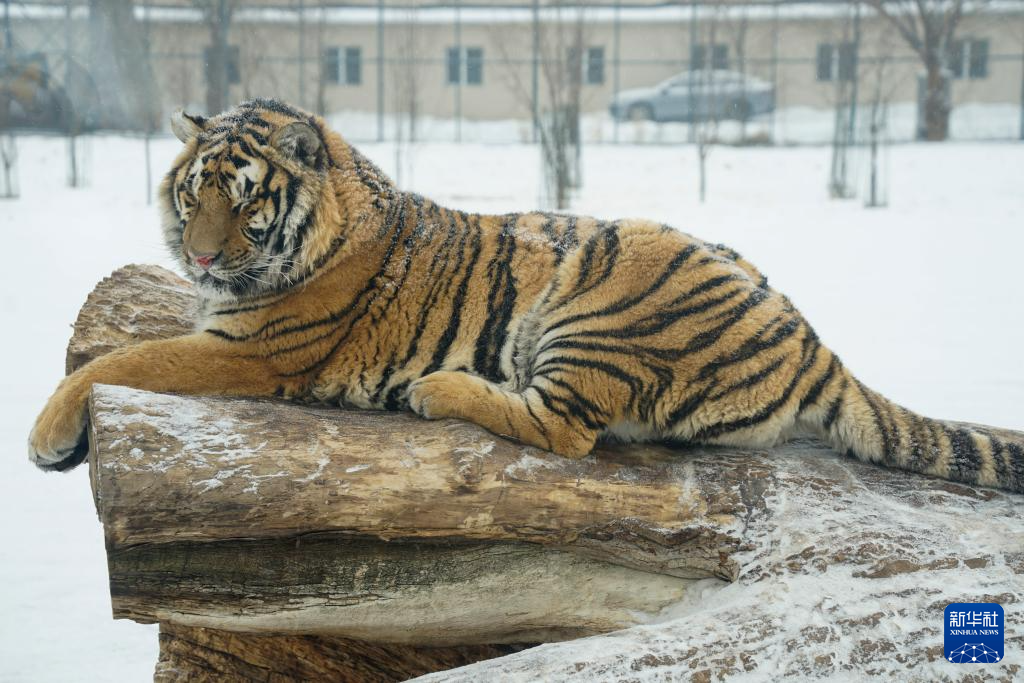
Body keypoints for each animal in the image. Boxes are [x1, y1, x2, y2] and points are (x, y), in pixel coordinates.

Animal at [28, 98, 1024, 493]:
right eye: (192, 195)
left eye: (243, 200)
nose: (200, 258)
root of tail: (814, 340)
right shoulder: (221, 320)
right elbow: (133, 332)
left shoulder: (249, 348)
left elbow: (120, 359)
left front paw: (46, 436)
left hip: (599, 312)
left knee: (565, 429)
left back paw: (435, 391)